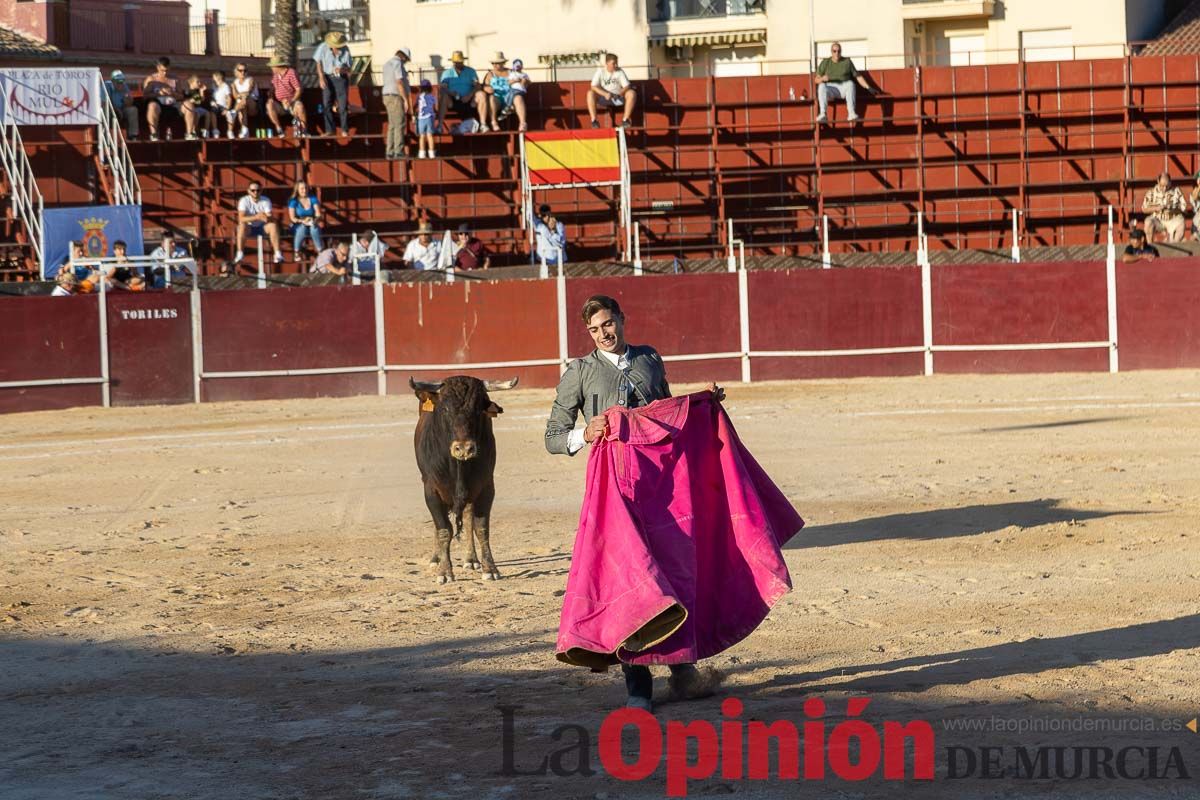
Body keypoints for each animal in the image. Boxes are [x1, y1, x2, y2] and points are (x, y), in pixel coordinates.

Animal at [412, 371, 516, 585]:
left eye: (477, 410)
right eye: (444, 409)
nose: (464, 448)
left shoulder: (486, 487)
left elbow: (481, 528)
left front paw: (490, 569)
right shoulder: (431, 490)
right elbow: (444, 530)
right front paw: (444, 571)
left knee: (467, 518)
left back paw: (471, 559)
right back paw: (436, 558)